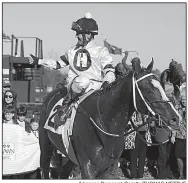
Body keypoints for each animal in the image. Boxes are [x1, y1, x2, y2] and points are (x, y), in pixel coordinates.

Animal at [39, 60, 180, 179]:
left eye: (162, 87)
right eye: (149, 91)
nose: (175, 118)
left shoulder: (108, 168)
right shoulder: (88, 169)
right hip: (45, 146)